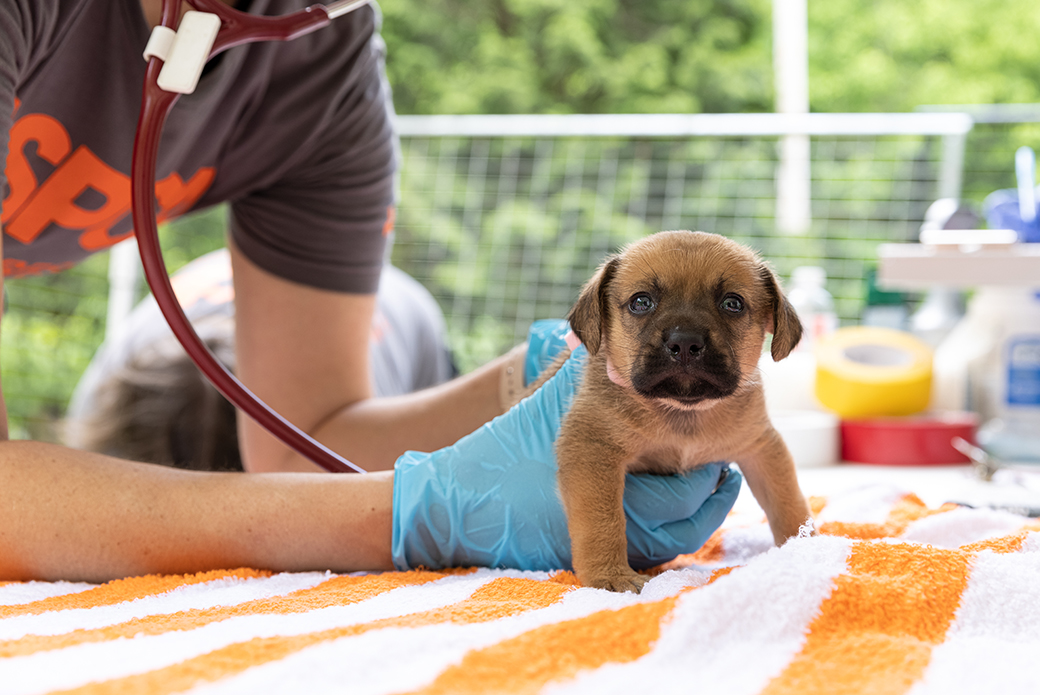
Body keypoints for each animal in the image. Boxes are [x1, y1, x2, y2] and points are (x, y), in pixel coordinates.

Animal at [536, 227, 811, 590]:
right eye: (641, 302)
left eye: (732, 303)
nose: (684, 343)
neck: (682, 413)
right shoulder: (591, 451)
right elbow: (602, 522)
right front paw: (610, 575)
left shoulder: (762, 448)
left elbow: (787, 502)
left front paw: (805, 547)